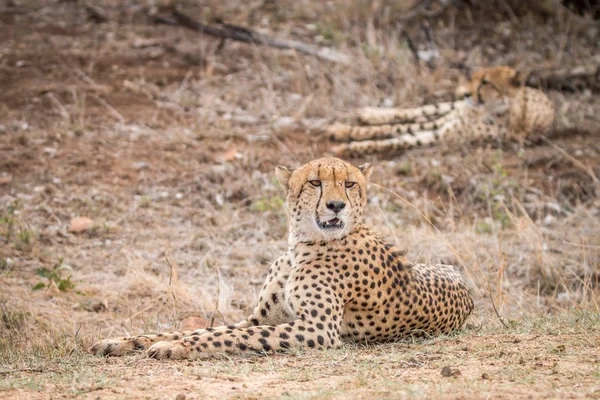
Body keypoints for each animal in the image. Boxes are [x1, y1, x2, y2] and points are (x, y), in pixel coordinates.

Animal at [91, 157, 474, 360]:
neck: (300, 245)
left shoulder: (317, 330)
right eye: (315, 183)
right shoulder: (258, 319)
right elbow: (207, 329)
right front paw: (123, 341)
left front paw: (177, 346)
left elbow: (227, 338)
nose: (337, 205)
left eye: (349, 184)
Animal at [330, 66, 556, 155]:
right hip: (449, 109)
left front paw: (347, 147)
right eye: (474, 77)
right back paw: (369, 114)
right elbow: (396, 127)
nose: (466, 93)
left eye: (485, 83)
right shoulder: (447, 122)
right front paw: (343, 132)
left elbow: (397, 139)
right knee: (414, 113)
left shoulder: (441, 134)